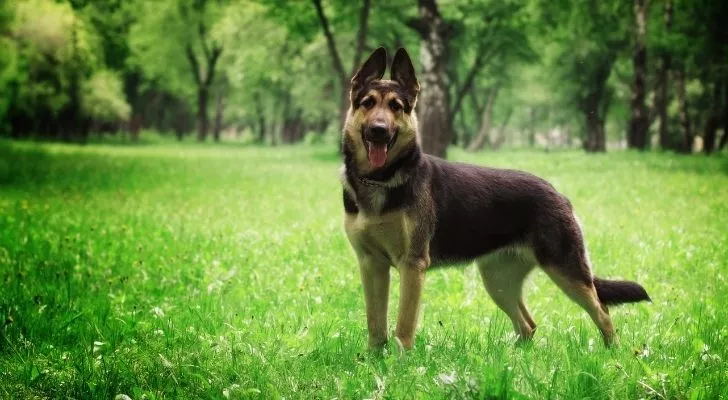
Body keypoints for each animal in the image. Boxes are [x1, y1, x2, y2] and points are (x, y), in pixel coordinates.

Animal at [340, 47, 648, 350]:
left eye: (396, 107)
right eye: (367, 103)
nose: (379, 130)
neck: (380, 179)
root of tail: (558, 194)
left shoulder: (412, 265)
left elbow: (403, 328)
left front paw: (400, 362)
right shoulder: (371, 265)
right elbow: (375, 325)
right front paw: (375, 360)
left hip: (566, 273)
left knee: (602, 312)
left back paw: (612, 354)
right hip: (498, 281)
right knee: (528, 325)